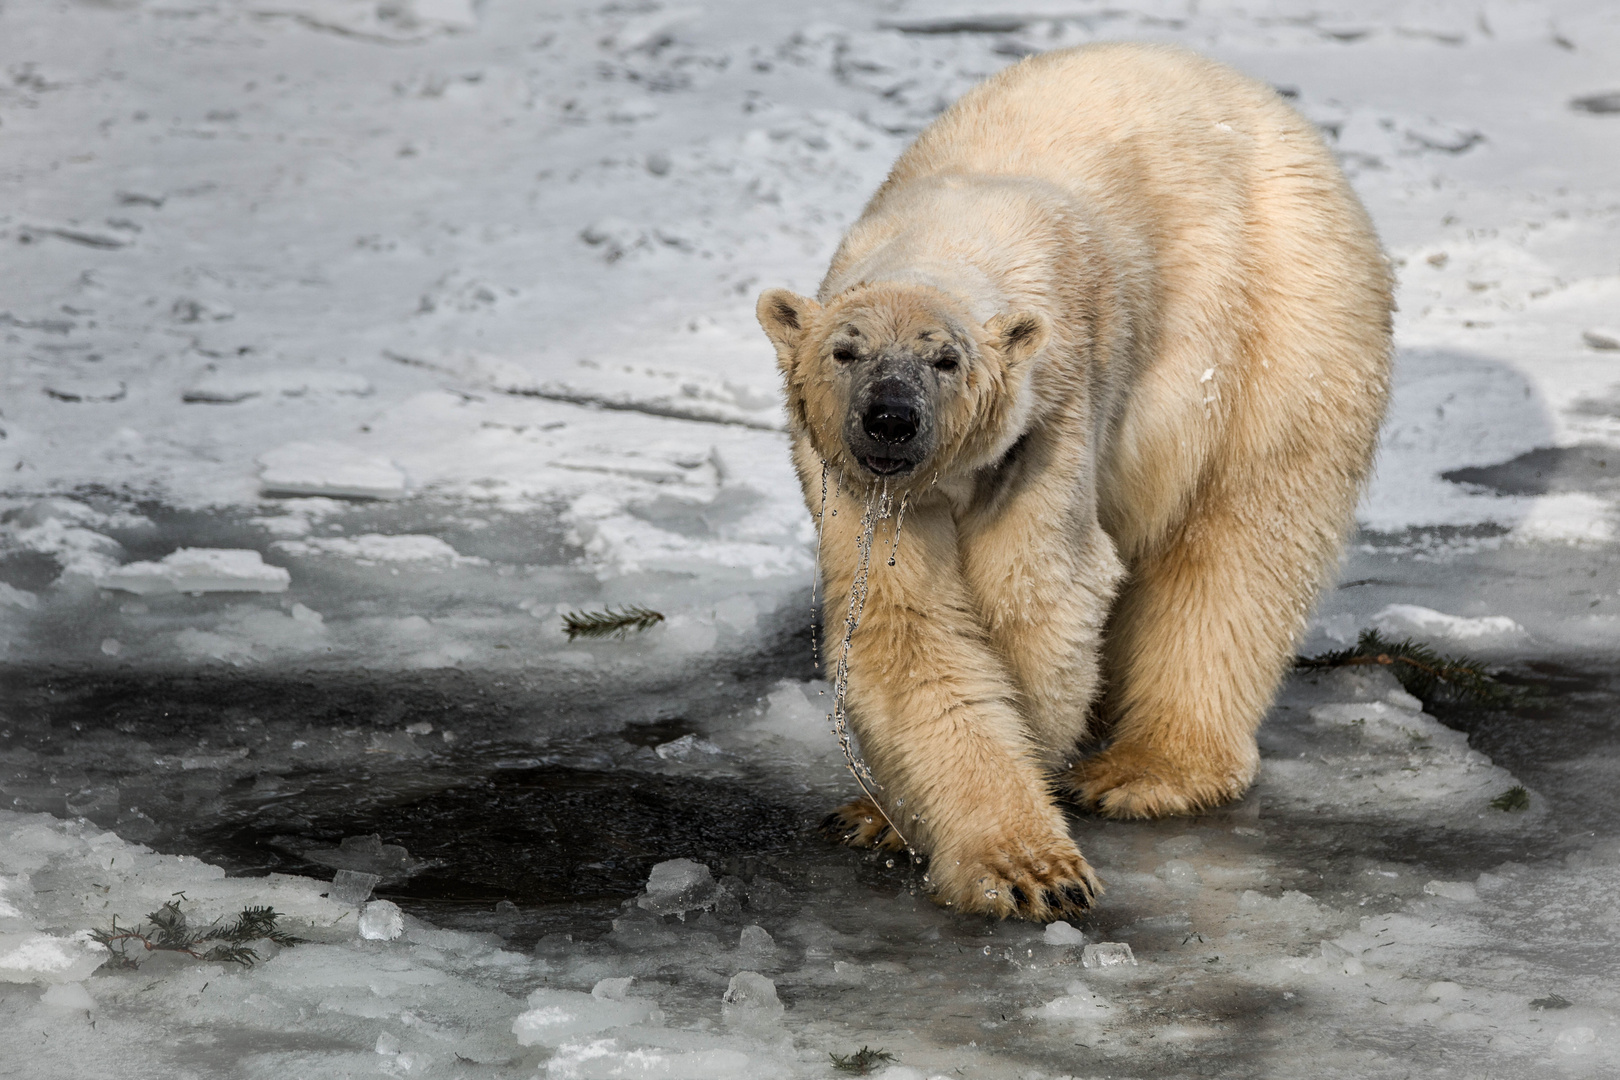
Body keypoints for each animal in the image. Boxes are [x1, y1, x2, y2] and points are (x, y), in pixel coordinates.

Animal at [758, 44, 1393, 919]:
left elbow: (1037, 600)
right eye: (845, 350)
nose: (891, 419)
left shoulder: (1049, 420)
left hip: (1285, 329)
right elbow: (904, 624)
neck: (955, 235)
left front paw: (1028, 866)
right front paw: (890, 818)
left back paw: (1149, 769)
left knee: (1241, 545)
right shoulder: (857, 483)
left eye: (945, 359)